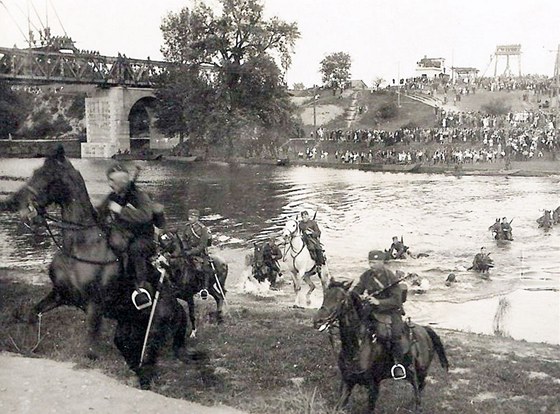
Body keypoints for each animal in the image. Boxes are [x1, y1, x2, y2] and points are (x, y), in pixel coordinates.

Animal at [0, 147, 191, 390]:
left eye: (49, 177)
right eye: (35, 172)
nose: (19, 206)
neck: (81, 245)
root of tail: (180, 312)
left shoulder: (94, 307)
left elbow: (90, 351)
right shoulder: (60, 294)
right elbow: (32, 314)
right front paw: (29, 343)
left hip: (151, 333)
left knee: (148, 359)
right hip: (125, 329)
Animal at [312, 280, 448, 412]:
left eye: (340, 299)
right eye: (325, 296)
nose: (318, 320)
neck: (358, 347)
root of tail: (424, 330)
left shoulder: (373, 385)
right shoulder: (347, 381)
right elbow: (339, 405)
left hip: (421, 372)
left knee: (419, 387)